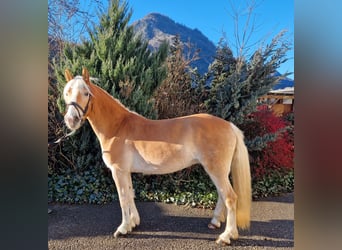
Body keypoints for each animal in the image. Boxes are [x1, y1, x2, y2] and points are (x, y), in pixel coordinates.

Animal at [62, 67, 252, 245]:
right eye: (67, 92)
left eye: (86, 93)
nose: (71, 120)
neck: (118, 127)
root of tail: (229, 125)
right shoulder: (126, 171)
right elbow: (130, 194)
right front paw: (133, 223)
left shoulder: (118, 170)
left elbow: (123, 198)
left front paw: (123, 228)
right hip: (218, 171)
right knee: (222, 195)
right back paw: (215, 222)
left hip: (216, 170)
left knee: (230, 197)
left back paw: (227, 236)